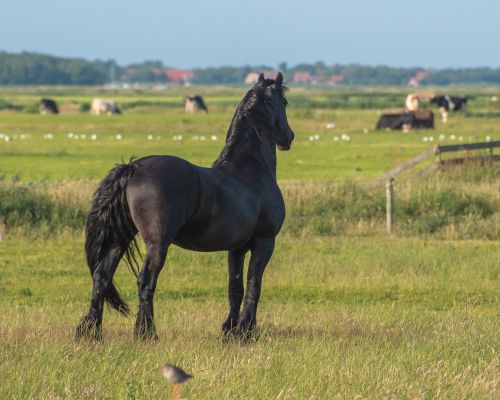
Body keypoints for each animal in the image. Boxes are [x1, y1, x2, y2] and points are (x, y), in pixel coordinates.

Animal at [76, 72, 294, 340]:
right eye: (284, 102)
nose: (289, 138)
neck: (251, 169)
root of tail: (134, 167)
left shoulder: (236, 248)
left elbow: (235, 287)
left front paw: (230, 330)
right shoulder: (264, 243)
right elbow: (255, 285)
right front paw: (247, 331)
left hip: (120, 238)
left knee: (101, 277)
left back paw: (91, 331)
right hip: (157, 243)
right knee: (145, 280)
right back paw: (147, 333)